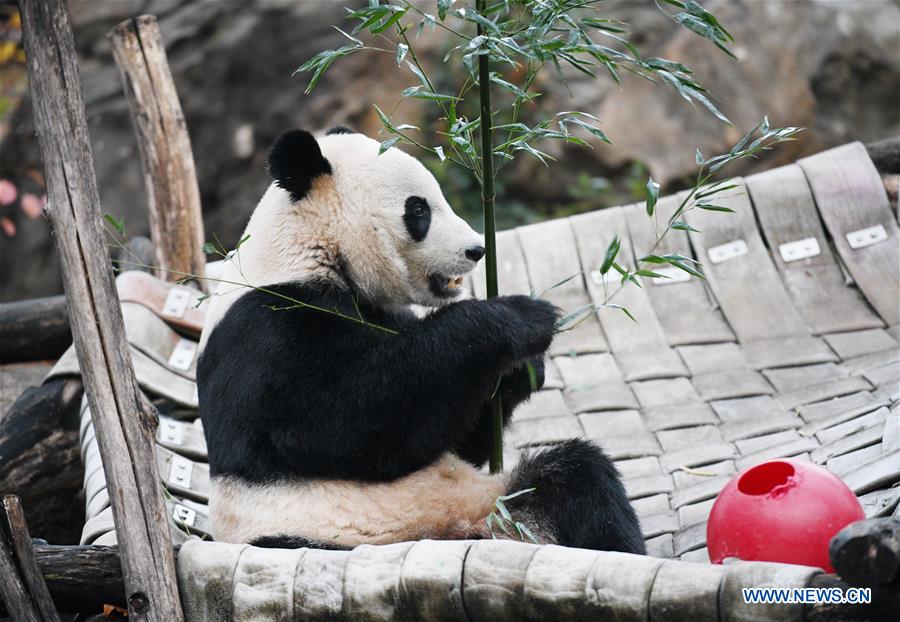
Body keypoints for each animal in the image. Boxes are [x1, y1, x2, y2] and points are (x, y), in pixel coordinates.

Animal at [199, 127, 648, 556]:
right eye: (418, 210)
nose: (476, 250)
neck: (306, 250)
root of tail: (472, 531)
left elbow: (453, 436)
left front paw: (521, 371)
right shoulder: (270, 332)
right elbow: (356, 423)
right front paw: (521, 318)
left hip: (498, 502)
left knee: (575, 481)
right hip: (327, 535)